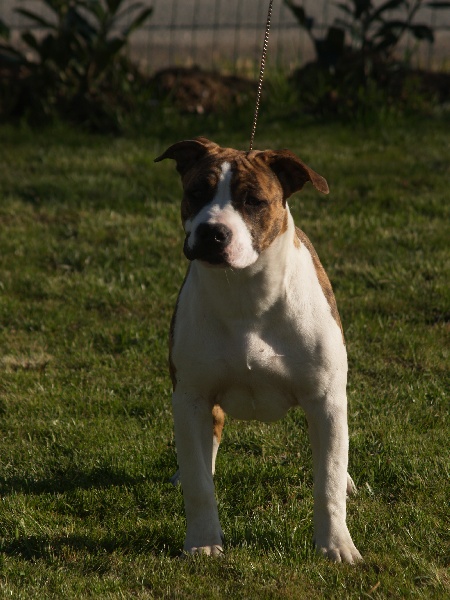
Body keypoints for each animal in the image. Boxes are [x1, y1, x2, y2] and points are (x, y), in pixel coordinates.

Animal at [155, 137, 362, 563]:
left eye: (253, 200)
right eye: (196, 192)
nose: (212, 232)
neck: (246, 293)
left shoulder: (326, 398)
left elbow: (328, 481)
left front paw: (336, 545)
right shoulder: (191, 395)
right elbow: (200, 485)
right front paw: (202, 541)